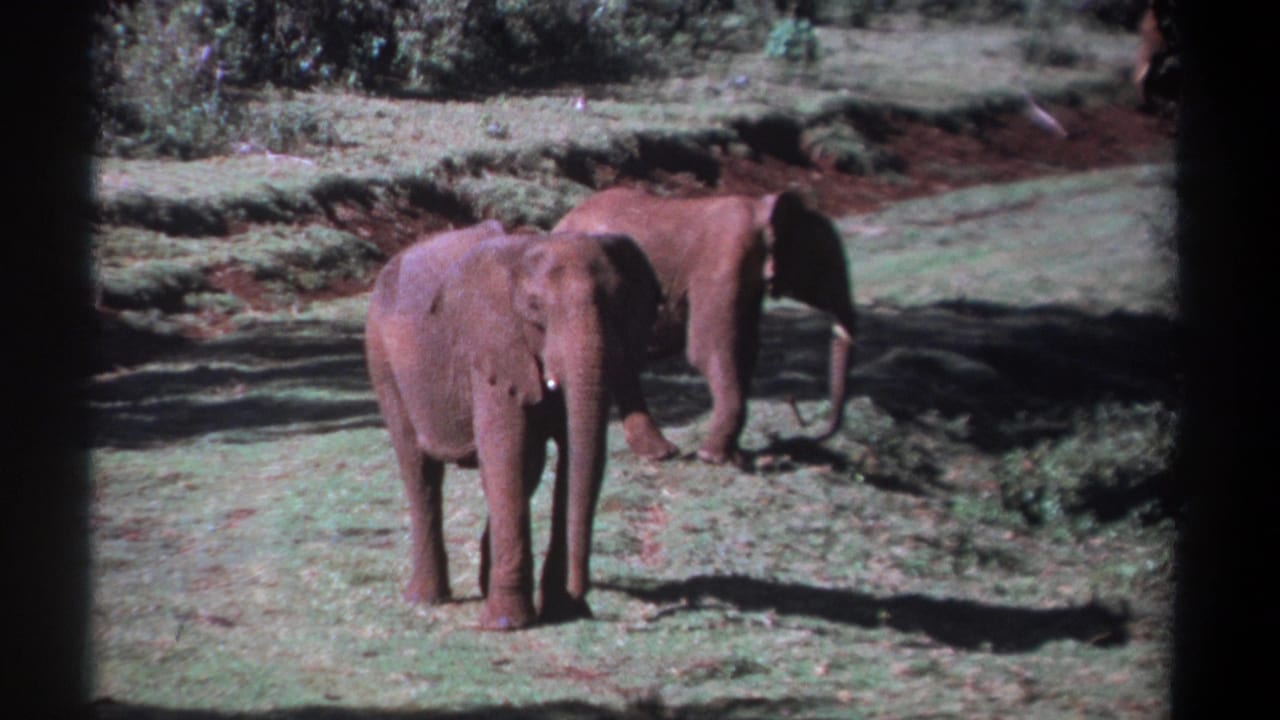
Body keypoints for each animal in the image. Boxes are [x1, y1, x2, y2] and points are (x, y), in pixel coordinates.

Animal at [364, 222, 662, 630]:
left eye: (620, 302)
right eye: (535, 308)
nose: (582, 594)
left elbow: (557, 455)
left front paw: (562, 610)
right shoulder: (492, 348)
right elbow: (507, 452)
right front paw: (507, 624)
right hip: (382, 357)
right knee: (419, 469)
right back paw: (425, 599)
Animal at [553, 187, 857, 466]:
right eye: (824, 264)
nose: (805, 428)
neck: (761, 210)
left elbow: (746, 348)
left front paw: (734, 457)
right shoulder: (724, 258)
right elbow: (710, 348)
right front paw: (713, 458)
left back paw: (660, 454)